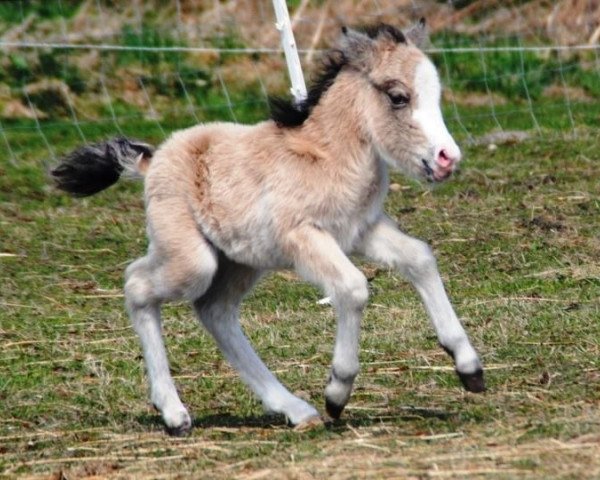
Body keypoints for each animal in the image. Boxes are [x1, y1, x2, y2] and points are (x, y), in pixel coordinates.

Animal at [50, 20, 482, 436]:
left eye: (436, 95)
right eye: (398, 97)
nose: (448, 159)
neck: (326, 156)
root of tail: (152, 160)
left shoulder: (360, 229)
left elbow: (419, 258)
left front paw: (469, 367)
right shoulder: (303, 236)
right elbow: (353, 288)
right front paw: (337, 392)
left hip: (242, 261)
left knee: (215, 311)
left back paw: (294, 410)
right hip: (193, 260)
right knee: (139, 284)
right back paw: (175, 415)